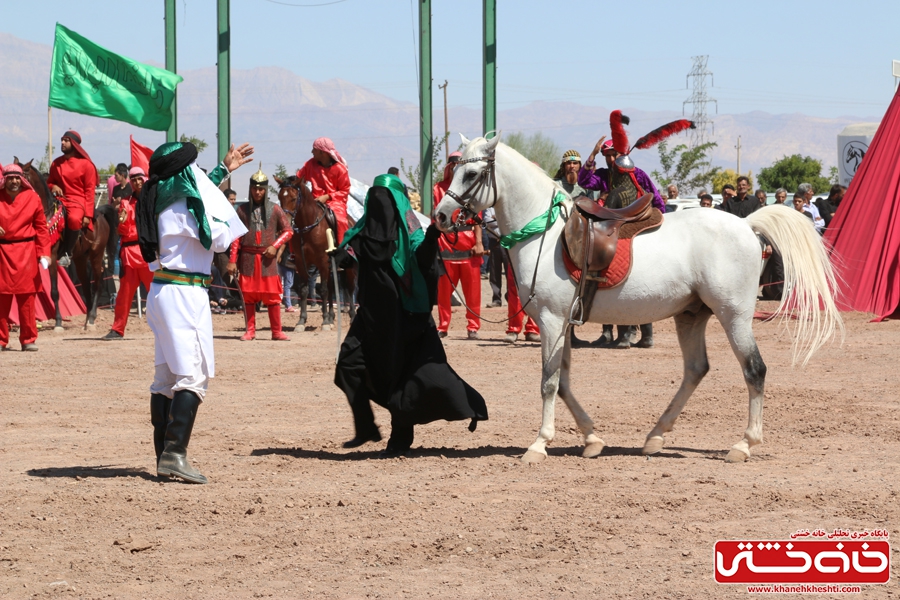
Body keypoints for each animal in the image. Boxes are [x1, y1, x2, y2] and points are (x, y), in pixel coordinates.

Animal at [16, 158, 116, 328]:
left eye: (19, 178)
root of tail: (100, 214)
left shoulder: (51, 258)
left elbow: (54, 291)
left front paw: (58, 322)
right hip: (80, 258)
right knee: (86, 285)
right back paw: (86, 320)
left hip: (96, 255)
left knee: (98, 284)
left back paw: (91, 319)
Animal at [276, 176, 356, 330]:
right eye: (279, 197)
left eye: (293, 198)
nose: (285, 221)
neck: (308, 227)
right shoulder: (301, 263)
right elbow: (304, 290)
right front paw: (301, 321)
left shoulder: (322, 261)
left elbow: (323, 290)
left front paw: (324, 321)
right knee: (332, 288)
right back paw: (331, 317)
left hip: (347, 268)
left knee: (350, 289)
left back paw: (352, 317)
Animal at [436, 135, 844, 464]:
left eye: (472, 175)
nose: (441, 216)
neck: (545, 233)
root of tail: (746, 224)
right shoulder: (563, 324)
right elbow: (564, 382)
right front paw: (592, 439)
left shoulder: (551, 321)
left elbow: (549, 383)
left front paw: (539, 445)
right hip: (691, 315)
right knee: (696, 369)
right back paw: (656, 436)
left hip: (734, 316)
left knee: (754, 370)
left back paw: (743, 444)